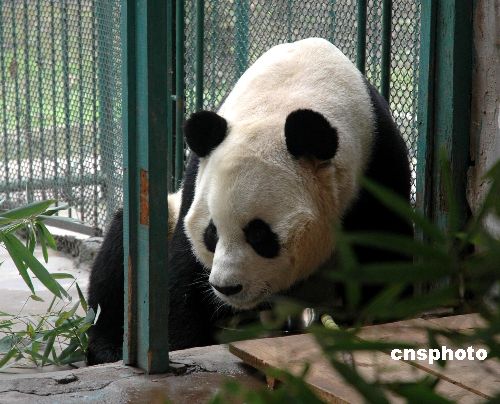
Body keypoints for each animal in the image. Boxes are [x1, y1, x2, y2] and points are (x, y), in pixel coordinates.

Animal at [86, 38, 411, 365]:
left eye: (259, 234)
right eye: (211, 234)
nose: (226, 287)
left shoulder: (377, 163)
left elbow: (386, 259)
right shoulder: (198, 174)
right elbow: (182, 271)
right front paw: (180, 344)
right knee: (119, 256)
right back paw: (107, 347)